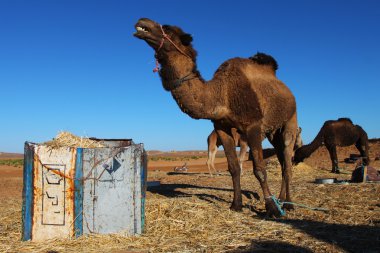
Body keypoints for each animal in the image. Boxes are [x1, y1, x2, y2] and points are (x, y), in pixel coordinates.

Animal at [135, 17, 302, 216]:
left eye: (167, 28)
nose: (142, 21)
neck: (222, 95)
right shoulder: (221, 127)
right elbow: (233, 168)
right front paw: (236, 205)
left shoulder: (252, 126)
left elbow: (260, 170)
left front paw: (271, 208)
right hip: (272, 132)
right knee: (283, 161)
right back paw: (282, 200)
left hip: (291, 119)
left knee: (288, 161)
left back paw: (288, 204)